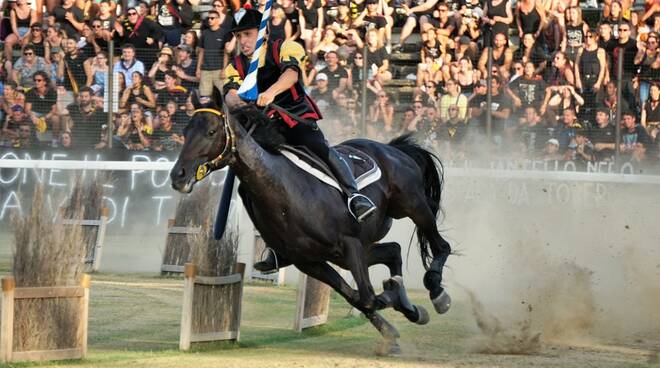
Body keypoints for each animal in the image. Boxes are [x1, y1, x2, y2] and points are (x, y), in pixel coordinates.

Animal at [170, 95, 454, 354]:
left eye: (211, 131)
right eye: (185, 132)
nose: (178, 176)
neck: (286, 191)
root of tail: (391, 149)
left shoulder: (350, 245)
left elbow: (367, 297)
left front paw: (393, 299)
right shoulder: (310, 261)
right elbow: (359, 298)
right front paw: (394, 326)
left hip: (414, 207)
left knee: (441, 246)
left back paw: (437, 293)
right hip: (351, 251)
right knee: (393, 250)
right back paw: (411, 305)